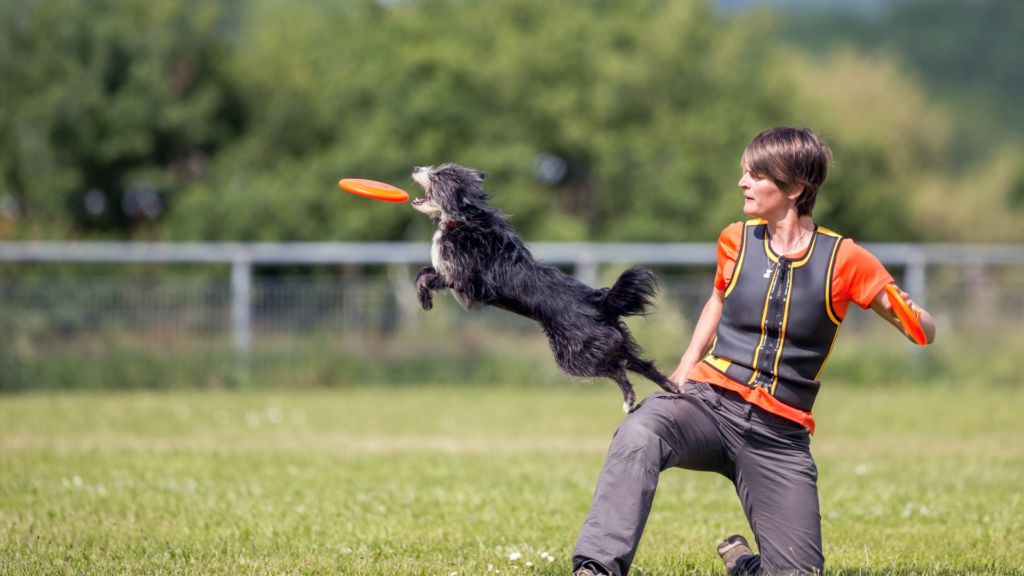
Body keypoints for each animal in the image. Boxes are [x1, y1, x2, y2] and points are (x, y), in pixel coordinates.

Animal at [407, 163, 679, 409]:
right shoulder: (453, 274)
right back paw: (671, 387)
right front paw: (423, 298)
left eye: (441, 175)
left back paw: (629, 399)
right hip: (613, 344)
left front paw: (424, 296)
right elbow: (424, 272)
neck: (464, 220)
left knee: (616, 368)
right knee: (643, 364)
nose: (416, 168)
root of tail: (600, 303)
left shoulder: (467, 280)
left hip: (575, 353)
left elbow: (427, 278)